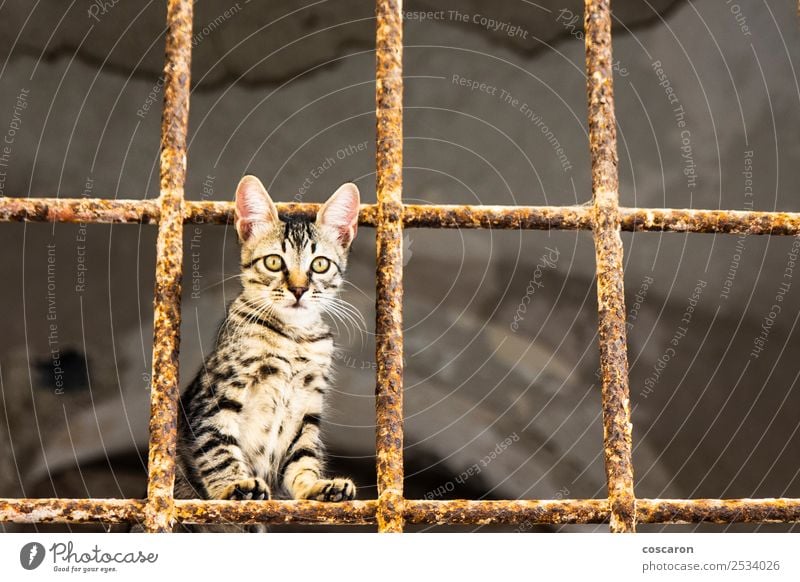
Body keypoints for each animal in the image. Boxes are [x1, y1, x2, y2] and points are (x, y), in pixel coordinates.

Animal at [177, 176, 360, 532]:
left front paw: (316, 486)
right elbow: (217, 447)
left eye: (320, 265)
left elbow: (303, 459)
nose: (299, 289)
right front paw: (233, 486)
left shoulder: (307, 409)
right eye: (274, 262)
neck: (294, 338)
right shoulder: (216, 395)